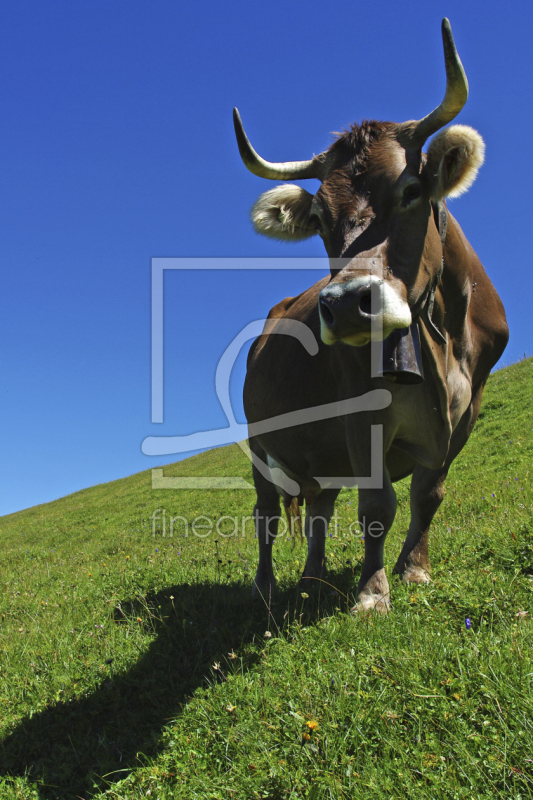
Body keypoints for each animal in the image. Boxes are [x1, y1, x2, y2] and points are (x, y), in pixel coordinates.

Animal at [233, 18, 508, 608]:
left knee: (318, 508)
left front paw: (414, 570)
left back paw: (312, 580)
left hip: (320, 453)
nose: (344, 305)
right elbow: (378, 506)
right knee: (267, 516)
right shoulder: (361, 415)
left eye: (411, 189)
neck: (442, 336)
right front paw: (371, 593)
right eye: (318, 217)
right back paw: (266, 588)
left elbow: (429, 494)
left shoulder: (467, 411)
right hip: (260, 448)